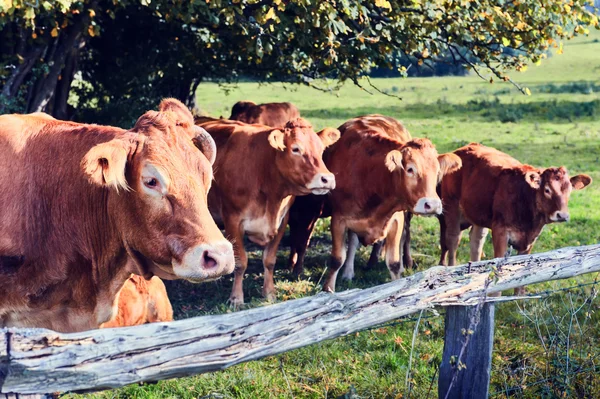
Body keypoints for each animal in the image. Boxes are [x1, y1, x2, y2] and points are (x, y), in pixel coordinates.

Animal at [196, 117, 340, 304]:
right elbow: (241, 261)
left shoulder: (282, 220)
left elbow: (270, 260)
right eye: (296, 149)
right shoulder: (233, 220)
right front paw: (236, 298)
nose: (327, 179)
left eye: (321, 150)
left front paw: (269, 293)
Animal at [288, 114, 462, 292]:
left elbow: (393, 262)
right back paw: (351, 271)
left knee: (405, 237)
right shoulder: (339, 219)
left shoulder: (396, 219)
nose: (432, 205)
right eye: (410, 169)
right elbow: (337, 258)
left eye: (437, 171)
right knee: (353, 241)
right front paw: (328, 289)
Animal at [436, 142, 592, 292]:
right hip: (451, 206)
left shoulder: (529, 241)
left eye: (569, 190)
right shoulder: (500, 232)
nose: (562, 215)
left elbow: (521, 280)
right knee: (453, 240)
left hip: (478, 214)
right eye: (547, 190)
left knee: (476, 240)